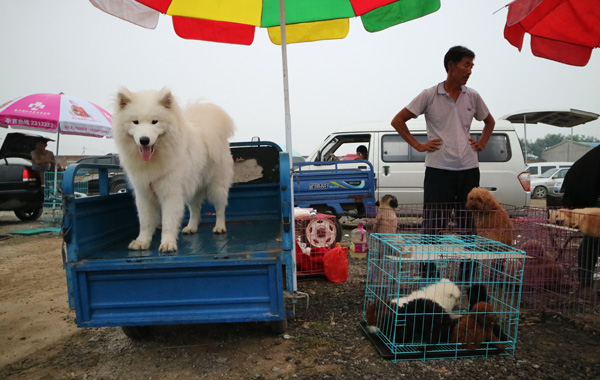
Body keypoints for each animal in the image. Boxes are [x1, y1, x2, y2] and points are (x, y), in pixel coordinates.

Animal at [112, 88, 234, 252]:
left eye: (154, 121)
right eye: (135, 122)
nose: (144, 140)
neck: (154, 160)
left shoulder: (170, 193)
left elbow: (168, 221)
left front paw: (168, 243)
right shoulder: (144, 194)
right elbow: (145, 222)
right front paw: (142, 242)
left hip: (216, 187)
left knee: (220, 208)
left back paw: (220, 227)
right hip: (192, 187)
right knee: (195, 210)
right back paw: (191, 227)